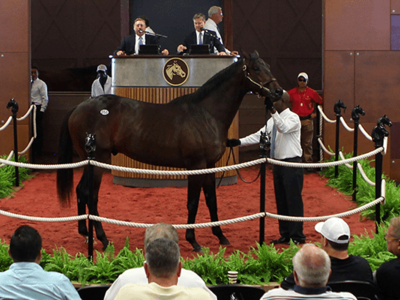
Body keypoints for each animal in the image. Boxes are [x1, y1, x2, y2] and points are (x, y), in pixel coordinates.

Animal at [56, 51, 282, 251]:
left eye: (269, 66)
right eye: (256, 68)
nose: (278, 92)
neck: (206, 114)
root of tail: (79, 107)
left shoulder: (209, 166)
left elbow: (211, 201)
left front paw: (220, 236)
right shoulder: (196, 165)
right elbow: (193, 202)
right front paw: (193, 241)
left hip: (90, 161)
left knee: (81, 191)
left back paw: (86, 234)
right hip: (98, 160)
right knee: (90, 195)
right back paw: (103, 239)